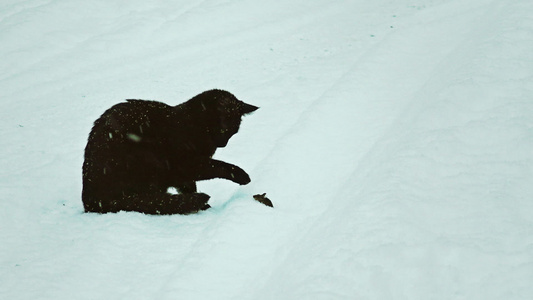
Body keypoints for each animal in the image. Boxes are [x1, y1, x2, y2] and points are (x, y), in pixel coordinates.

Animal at [81, 88, 258, 214]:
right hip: (147, 158)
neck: (194, 124)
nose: (223, 144)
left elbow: (189, 185)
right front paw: (241, 175)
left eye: (233, 132)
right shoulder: (186, 164)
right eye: (223, 130)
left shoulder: (184, 174)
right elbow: (218, 166)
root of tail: (91, 200)